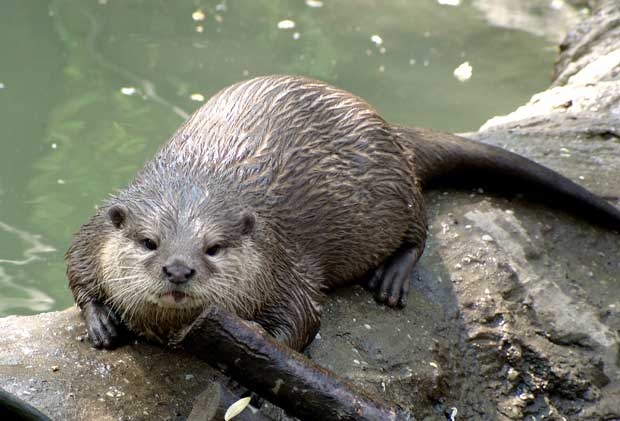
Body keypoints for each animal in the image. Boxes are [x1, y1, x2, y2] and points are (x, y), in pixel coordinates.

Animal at [66, 75, 620, 352]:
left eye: (213, 248)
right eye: (149, 242)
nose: (178, 270)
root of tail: (387, 126)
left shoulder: (284, 265)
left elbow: (304, 318)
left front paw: (258, 340)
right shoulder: (92, 233)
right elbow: (76, 272)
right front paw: (102, 323)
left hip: (393, 190)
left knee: (419, 228)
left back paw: (391, 279)